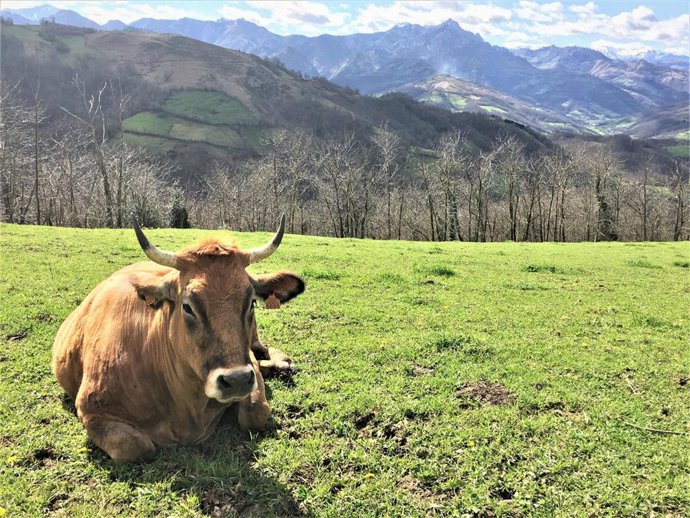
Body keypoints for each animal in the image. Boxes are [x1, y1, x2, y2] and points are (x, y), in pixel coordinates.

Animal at [52, 215, 304, 462]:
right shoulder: (91, 410)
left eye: (251, 302)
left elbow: (255, 414)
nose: (237, 380)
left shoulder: (248, 365)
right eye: (188, 306)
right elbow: (137, 447)